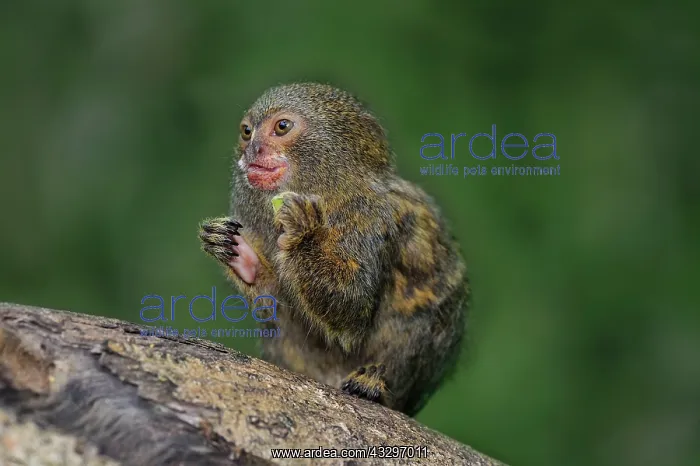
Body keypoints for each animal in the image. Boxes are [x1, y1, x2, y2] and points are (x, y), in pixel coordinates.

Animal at [199, 83, 469, 417]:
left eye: (282, 127)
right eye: (247, 132)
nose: (253, 150)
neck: (330, 191)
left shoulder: (370, 218)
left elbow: (351, 309)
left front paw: (304, 232)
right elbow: (281, 304)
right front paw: (243, 259)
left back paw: (375, 381)